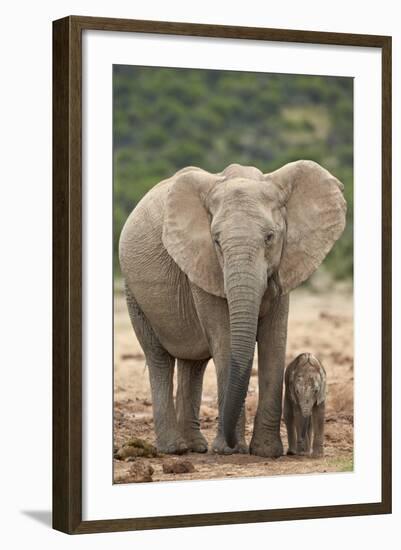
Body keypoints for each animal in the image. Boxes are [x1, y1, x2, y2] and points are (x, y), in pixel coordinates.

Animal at [118, 162, 344, 460]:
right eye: (216, 241)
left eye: (270, 237)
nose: (233, 443)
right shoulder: (202, 263)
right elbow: (225, 339)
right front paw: (230, 450)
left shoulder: (284, 264)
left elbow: (274, 339)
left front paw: (266, 452)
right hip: (133, 292)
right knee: (159, 358)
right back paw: (175, 449)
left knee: (193, 364)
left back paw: (196, 446)